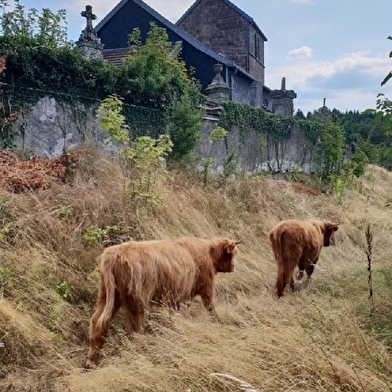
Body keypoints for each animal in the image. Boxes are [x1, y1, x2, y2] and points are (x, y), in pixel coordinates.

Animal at [85, 236, 239, 368]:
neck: (208, 251)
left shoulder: (174, 299)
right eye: (232, 255)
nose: (233, 266)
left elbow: (174, 317)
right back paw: (138, 354)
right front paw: (219, 323)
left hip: (107, 295)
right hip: (135, 301)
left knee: (97, 321)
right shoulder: (207, 286)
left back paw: (91, 360)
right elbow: (211, 307)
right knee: (133, 329)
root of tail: (114, 253)